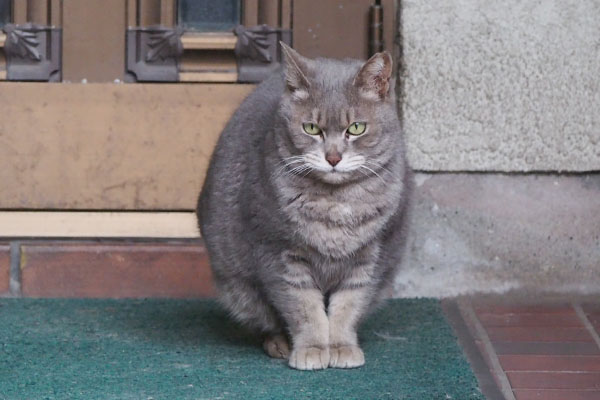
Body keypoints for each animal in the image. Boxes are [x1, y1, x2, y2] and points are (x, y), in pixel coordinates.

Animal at [197, 42, 412, 370]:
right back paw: (279, 343)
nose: (333, 157)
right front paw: (311, 348)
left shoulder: (369, 260)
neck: (335, 204)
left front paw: (341, 347)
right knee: (267, 320)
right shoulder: (280, 255)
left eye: (357, 128)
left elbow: (347, 308)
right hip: (239, 287)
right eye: (311, 128)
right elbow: (305, 310)